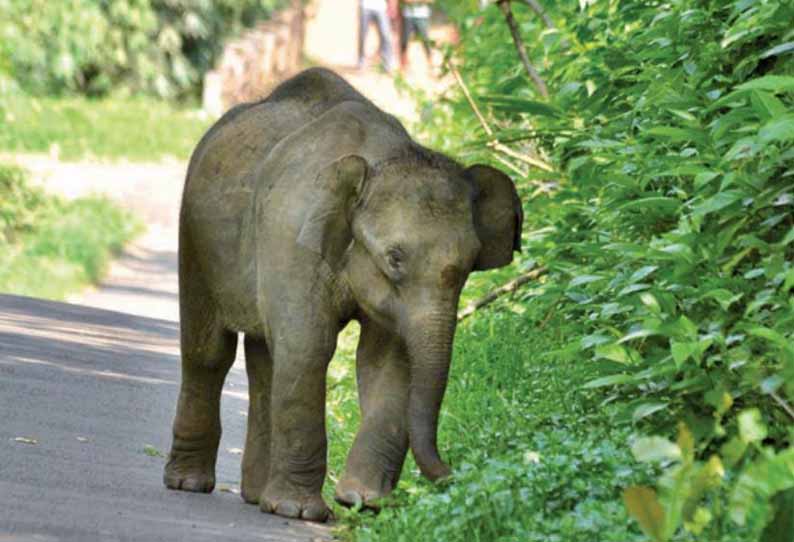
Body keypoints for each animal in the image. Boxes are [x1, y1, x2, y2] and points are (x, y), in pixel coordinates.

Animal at [162, 67, 520, 524]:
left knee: (265, 360)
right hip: (194, 237)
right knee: (209, 353)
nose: (454, 474)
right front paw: (299, 511)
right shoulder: (292, 239)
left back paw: (257, 495)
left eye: (470, 262)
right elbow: (309, 347)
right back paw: (189, 484)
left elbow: (391, 363)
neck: (379, 158)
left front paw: (363, 501)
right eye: (394, 258)